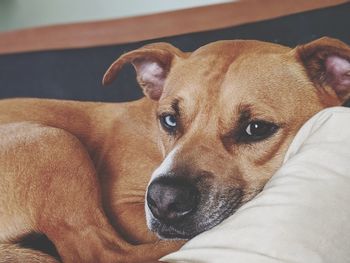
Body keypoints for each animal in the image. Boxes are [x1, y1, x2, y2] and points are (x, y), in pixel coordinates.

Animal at [0, 37, 348, 263]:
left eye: (256, 128)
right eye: (169, 120)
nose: (164, 201)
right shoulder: (122, 205)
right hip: (54, 141)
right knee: (103, 253)